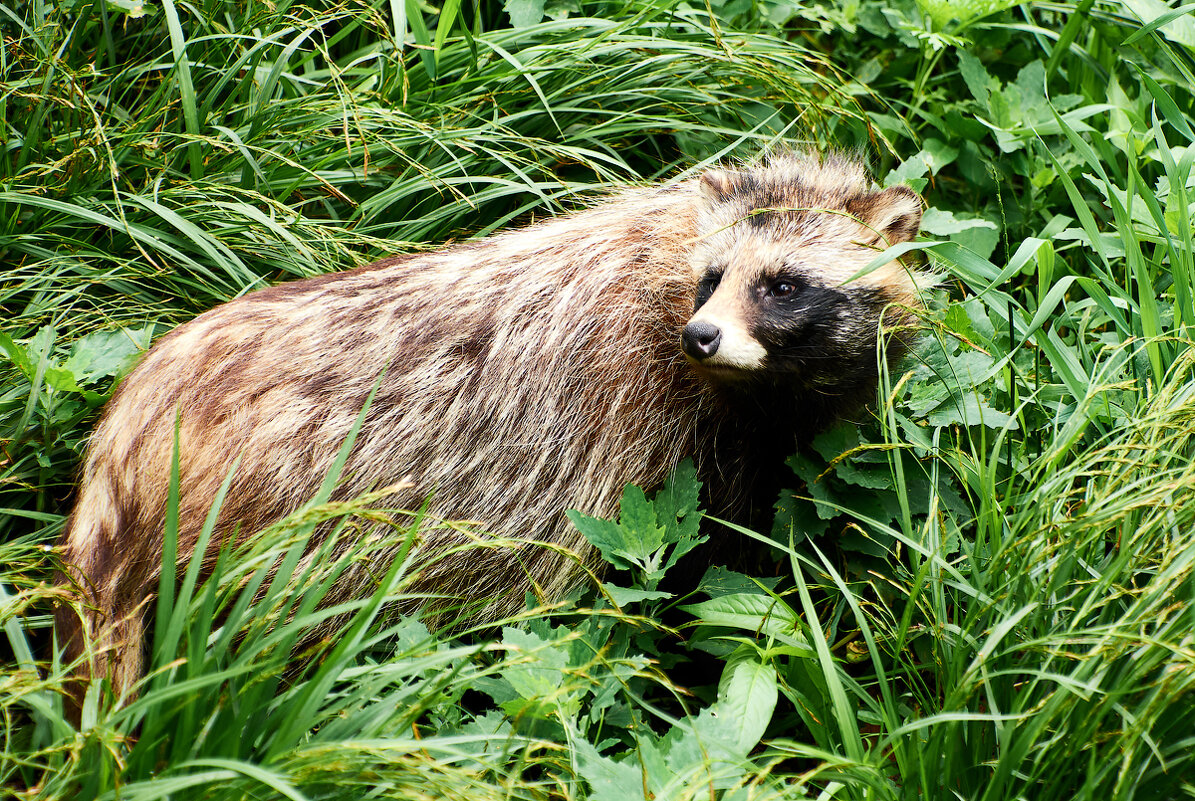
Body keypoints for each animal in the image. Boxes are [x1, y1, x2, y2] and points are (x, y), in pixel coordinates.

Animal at [56, 152, 927, 702]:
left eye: (781, 285)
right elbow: (678, 573)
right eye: (712, 279)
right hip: (284, 512)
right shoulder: (632, 433)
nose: (701, 335)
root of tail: (134, 423)